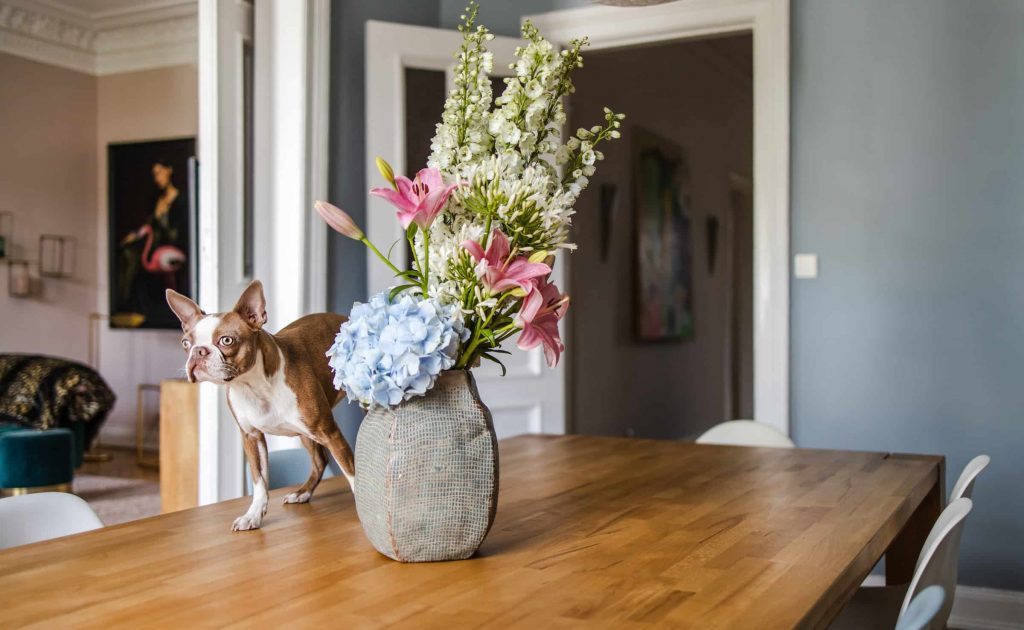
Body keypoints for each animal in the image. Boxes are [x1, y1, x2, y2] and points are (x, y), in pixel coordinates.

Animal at [167, 280, 356, 532]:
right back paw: (303, 493)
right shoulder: (251, 437)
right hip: (305, 433)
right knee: (320, 460)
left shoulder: (330, 432)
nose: (198, 351)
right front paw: (253, 515)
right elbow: (260, 482)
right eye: (186, 343)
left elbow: (352, 472)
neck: (252, 386)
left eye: (226, 340)